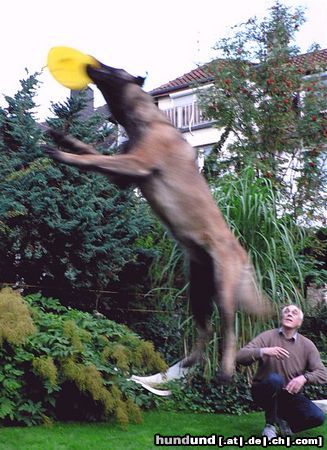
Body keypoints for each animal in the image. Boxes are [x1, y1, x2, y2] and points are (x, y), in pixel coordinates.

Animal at [44, 61, 272, 382]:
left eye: (112, 69)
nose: (90, 64)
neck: (146, 120)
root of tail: (243, 252)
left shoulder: (135, 164)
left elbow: (92, 159)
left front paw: (63, 154)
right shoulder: (122, 175)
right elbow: (91, 152)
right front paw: (64, 138)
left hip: (224, 287)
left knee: (229, 327)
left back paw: (225, 369)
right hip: (197, 289)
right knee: (205, 328)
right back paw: (192, 359)